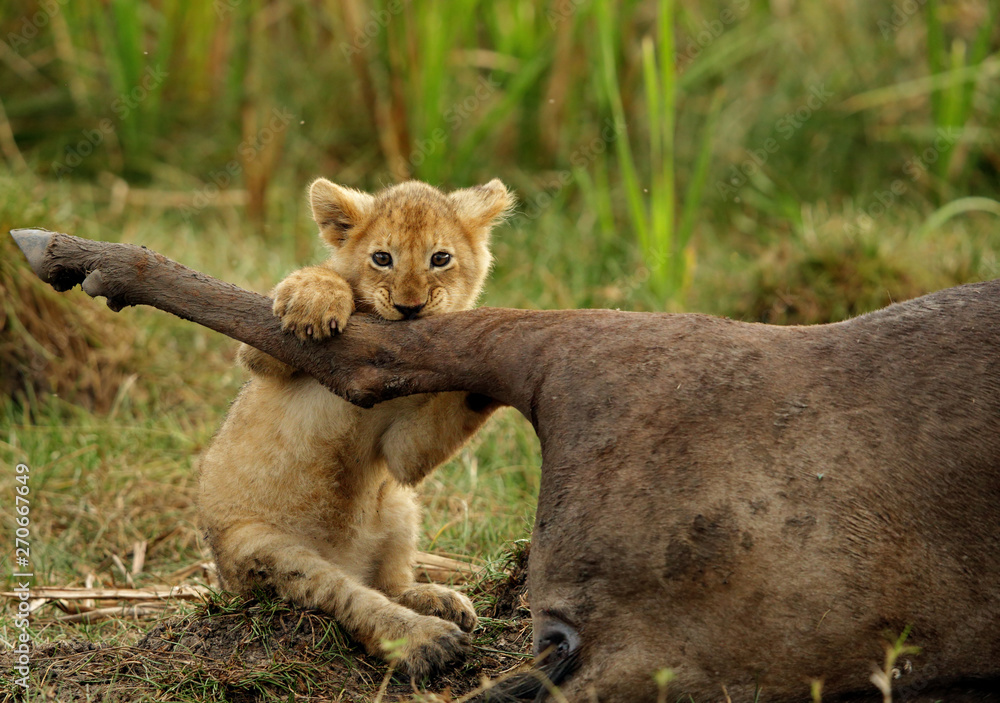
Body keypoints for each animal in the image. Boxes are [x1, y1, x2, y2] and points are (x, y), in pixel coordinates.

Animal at [198, 178, 513, 678]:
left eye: (440, 258)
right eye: (382, 257)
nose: (409, 307)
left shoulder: (406, 447)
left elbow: (414, 448)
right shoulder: (262, 350)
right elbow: (322, 280)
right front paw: (316, 299)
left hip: (399, 507)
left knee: (387, 584)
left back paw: (440, 600)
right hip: (264, 550)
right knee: (351, 597)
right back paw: (427, 639)